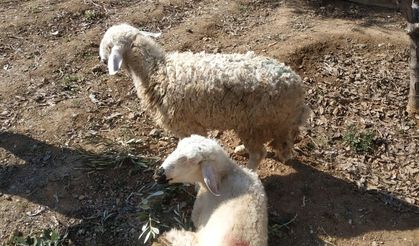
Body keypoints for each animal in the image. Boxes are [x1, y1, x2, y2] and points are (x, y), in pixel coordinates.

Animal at [97, 23, 308, 169]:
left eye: (107, 46)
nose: (101, 60)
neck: (157, 71)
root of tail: (296, 87)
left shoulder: (186, 124)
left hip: (254, 123)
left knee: (259, 153)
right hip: (273, 122)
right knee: (282, 143)